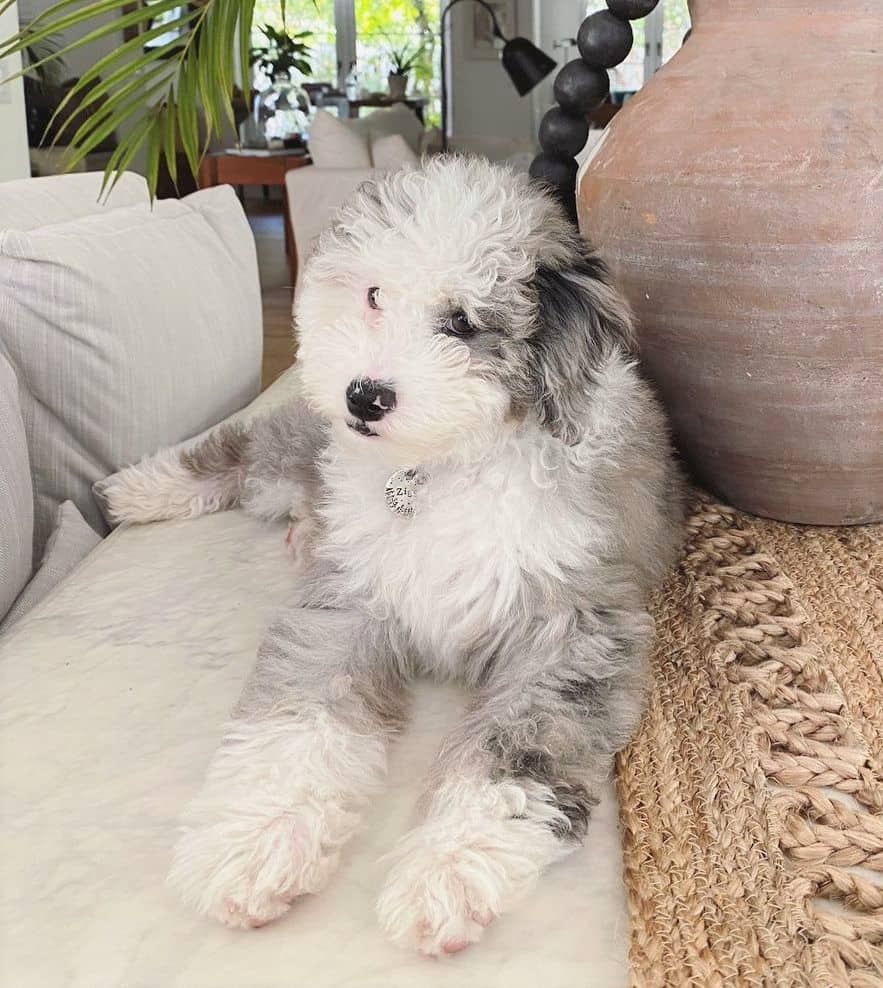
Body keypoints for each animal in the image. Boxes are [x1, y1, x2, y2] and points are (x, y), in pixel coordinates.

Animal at [100, 156, 688, 956]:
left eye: (463, 324)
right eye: (374, 294)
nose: (365, 396)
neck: (437, 470)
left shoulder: (572, 636)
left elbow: (509, 763)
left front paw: (447, 872)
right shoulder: (345, 604)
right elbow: (297, 723)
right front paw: (256, 844)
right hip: (304, 443)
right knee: (247, 448)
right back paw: (141, 488)